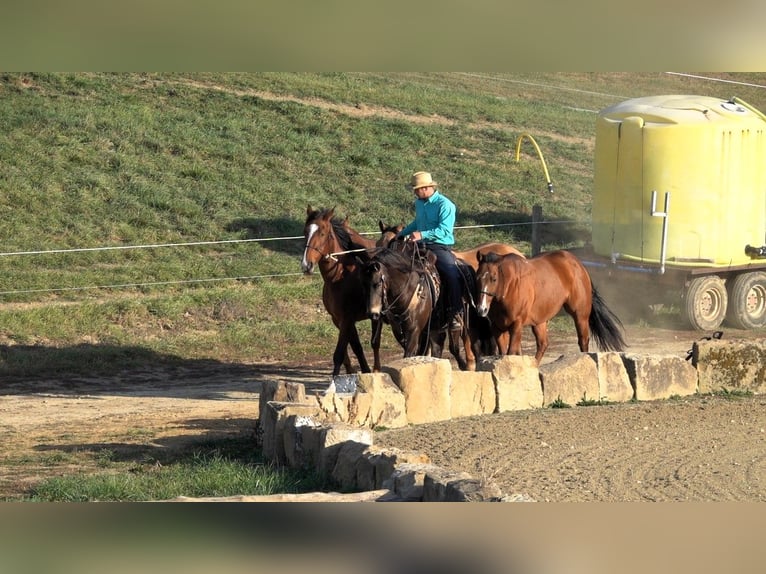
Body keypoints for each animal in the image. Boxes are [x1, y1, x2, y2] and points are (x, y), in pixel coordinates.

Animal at [302, 206, 382, 378]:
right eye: (305, 232)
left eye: (323, 233)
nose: (306, 265)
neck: (339, 277)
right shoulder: (339, 319)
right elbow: (355, 346)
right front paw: (363, 370)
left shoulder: (347, 319)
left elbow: (339, 353)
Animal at [474, 251, 632, 364]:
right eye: (477, 277)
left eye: (494, 278)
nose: (481, 309)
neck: (509, 287)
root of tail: (577, 264)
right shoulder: (497, 328)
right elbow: (503, 352)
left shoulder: (516, 325)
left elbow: (511, 352)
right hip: (540, 321)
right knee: (543, 344)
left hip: (580, 315)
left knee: (583, 341)